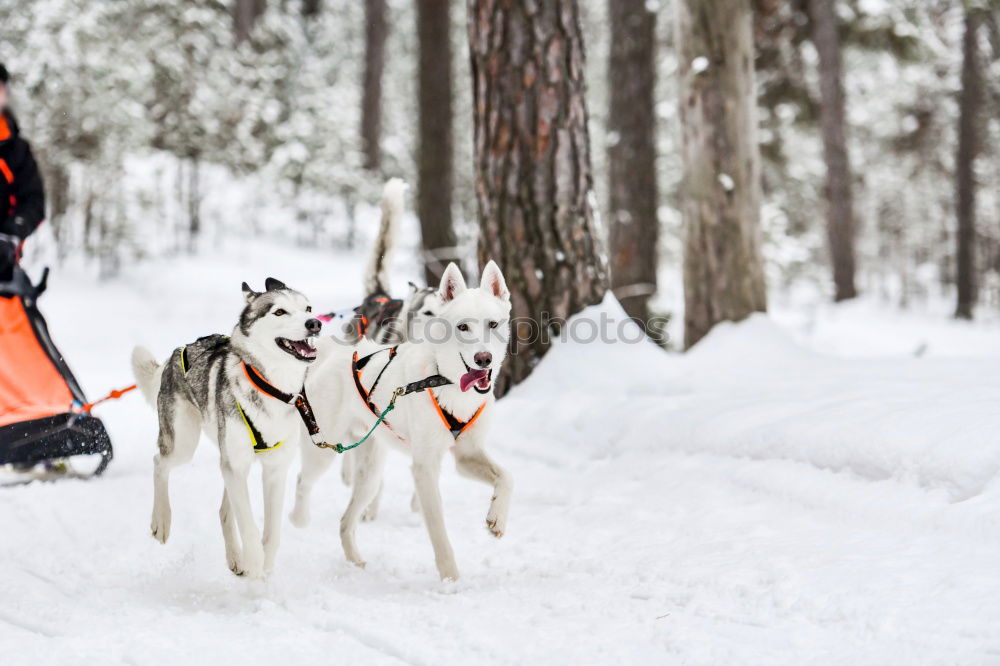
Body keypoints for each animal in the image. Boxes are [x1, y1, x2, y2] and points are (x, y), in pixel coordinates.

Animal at [132, 278, 320, 580]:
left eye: (308, 308)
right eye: (279, 312)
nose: (315, 323)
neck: (270, 387)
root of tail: (177, 352)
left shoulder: (274, 470)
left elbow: (272, 533)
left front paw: (264, 565)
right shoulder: (236, 465)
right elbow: (250, 530)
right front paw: (255, 564)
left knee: (223, 510)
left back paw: (234, 558)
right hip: (185, 445)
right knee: (159, 462)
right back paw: (161, 520)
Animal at [292, 260, 516, 576]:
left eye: (493, 324)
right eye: (462, 326)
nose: (483, 358)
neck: (443, 381)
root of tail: (337, 351)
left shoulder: (467, 456)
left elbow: (507, 477)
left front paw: (497, 517)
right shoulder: (425, 467)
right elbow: (438, 530)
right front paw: (450, 577)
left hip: (371, 474)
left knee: (346, 521)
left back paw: (354, 559)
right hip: (322, 452)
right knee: (303, 481)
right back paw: (299, 519)